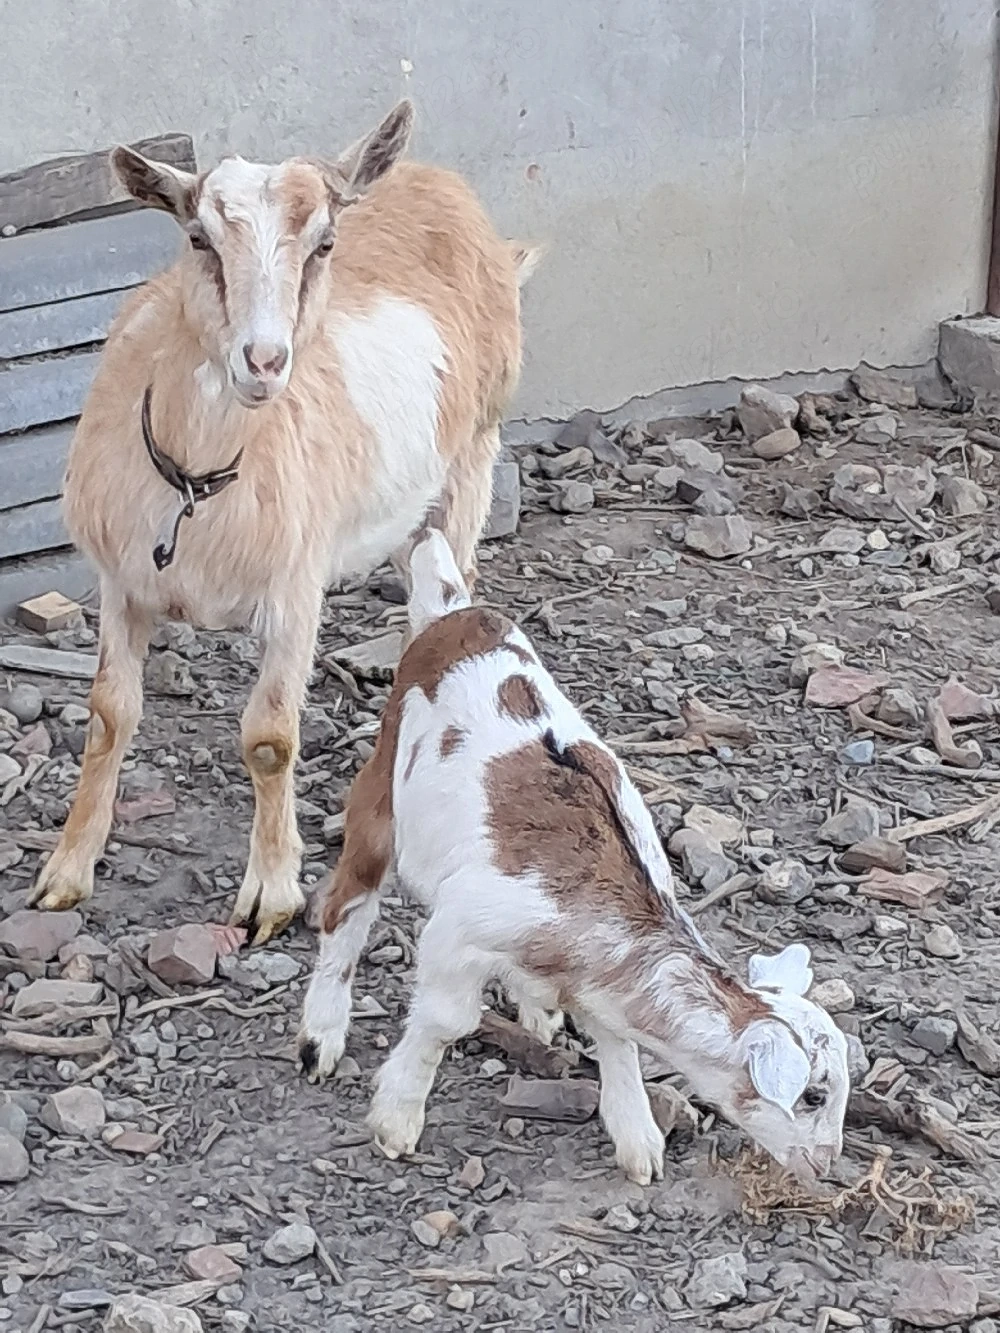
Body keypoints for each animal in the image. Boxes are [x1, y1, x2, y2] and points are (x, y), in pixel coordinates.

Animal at [29, 101, 539, 944]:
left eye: (325, 242)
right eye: (198, 237)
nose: (263, 361)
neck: (198, 480)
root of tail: (435, 178)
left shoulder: (296, 587)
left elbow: (269, 738)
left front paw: (270, 891)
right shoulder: (121, 581)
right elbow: (108, 715)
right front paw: (66, 869)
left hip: (474, 453)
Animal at [299, 529, 850, 1186]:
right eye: (813, 1095)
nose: (827, 1164)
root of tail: (454, 613)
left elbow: (616, 1034)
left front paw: (640, 1143)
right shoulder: (458, 930)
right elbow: (445, 1021)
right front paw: (396, 1121)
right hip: (380, 794)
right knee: (346, 907)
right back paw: (321, 1036)